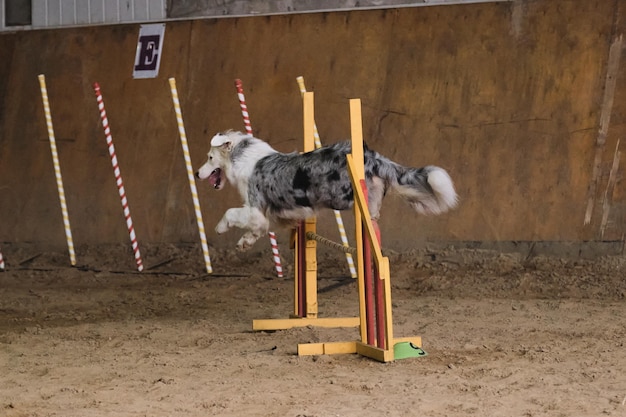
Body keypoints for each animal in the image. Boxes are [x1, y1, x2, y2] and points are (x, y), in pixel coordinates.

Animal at [196, 130, 458, 250]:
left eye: (209, 157)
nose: (197, 174)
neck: (243, 158)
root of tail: (371, 156)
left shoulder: (256, 209)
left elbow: (232, 213)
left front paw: (221, 228)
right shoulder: (273, 216)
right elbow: (257, 229)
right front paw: (246, 242)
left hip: (342, 197)